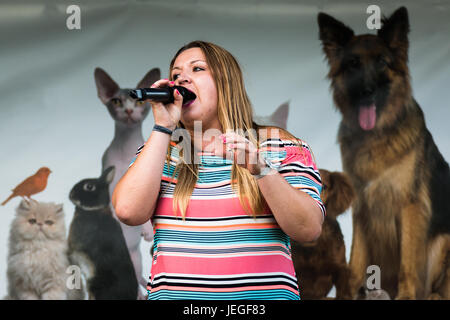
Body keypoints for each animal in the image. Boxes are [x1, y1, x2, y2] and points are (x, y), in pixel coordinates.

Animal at [93, 67, 160, 298]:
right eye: (116, 101)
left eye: (139, 103)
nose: (129, 111)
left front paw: (147, 230)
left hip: (135, 260)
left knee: (139, 279)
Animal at [318, 6, 448, 298]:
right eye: (353, 64)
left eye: (382, 63)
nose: (367, 92)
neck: (375, 137)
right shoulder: (363, 208)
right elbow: (355, 260)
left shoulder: (409, 206)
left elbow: (408, 263)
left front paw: (406, 295)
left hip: (443, 240)